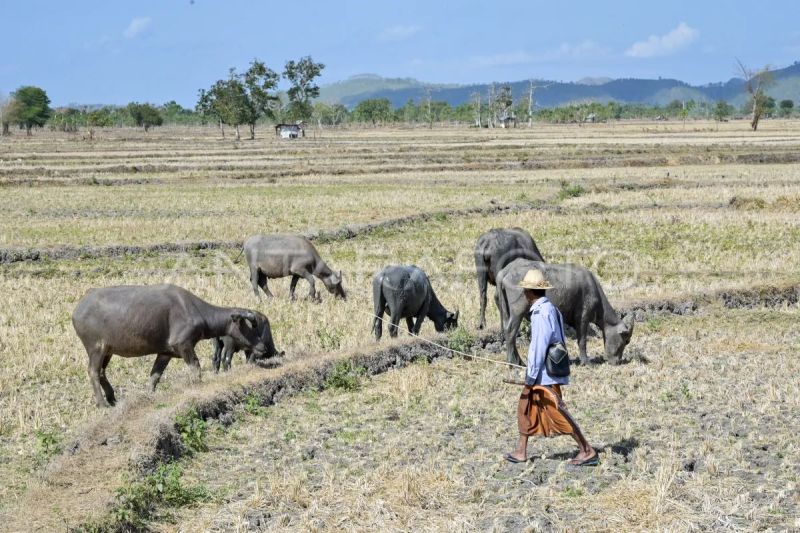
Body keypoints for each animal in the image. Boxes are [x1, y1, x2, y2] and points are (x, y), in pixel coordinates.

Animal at [72, 284, 278, 406]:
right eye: (250, 327)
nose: (262, 348)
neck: (196, 311)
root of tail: (77, 310)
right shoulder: (184, 346)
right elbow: (196, 367)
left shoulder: (165, 353)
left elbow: (155, 376)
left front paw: (149, 395)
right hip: (96, 348)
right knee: (93, 371)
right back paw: (102, 403)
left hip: (108, 350)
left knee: (101, 372)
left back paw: (112, 398)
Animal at [496, 258, 636, 366]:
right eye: (626, 341)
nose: (617, 361)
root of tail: (505, 271)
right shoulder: (583, 318)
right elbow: (582, 340)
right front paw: (586, 361)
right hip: (517, 311)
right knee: (511, 332)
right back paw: (513, 363)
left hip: (505, 311)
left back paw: (519, 361)